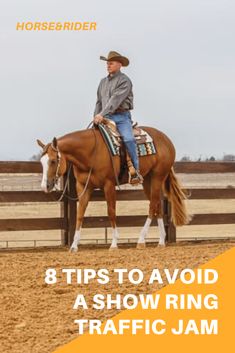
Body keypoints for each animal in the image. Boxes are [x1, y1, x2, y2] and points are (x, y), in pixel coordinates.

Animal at [37, 124, 191, 250]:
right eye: (41, 162)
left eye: (53, 161)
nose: (45, 186)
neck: (90, 152)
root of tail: (166, 140)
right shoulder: (83, 187)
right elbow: (80, 214)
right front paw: (74, 245)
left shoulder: (109, 184)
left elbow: (111, 212)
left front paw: (114, 243)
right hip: (148, 179)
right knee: (157, 205)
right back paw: (161, 241)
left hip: (158, 177)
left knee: (152, 205)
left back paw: (141, 240)